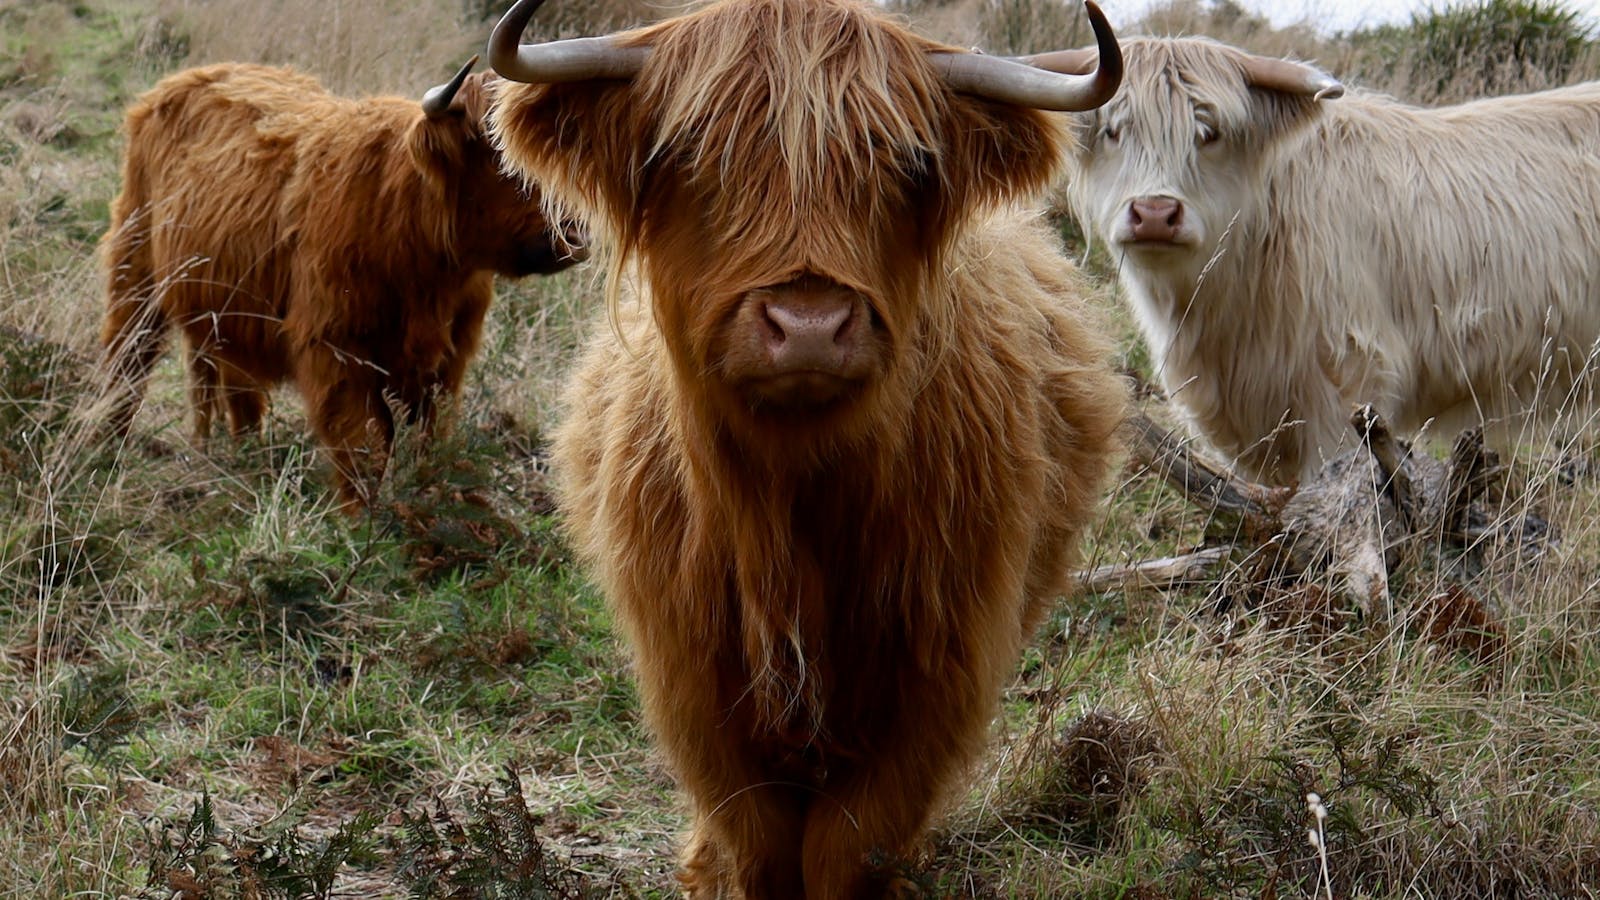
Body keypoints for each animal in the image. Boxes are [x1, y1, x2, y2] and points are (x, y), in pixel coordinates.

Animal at [99, 58, 584, 508]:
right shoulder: (336, 350)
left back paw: (242, 456)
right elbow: (362, 441)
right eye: (500, 153)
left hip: (223, 309)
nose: (576, 229)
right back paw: (109, 447)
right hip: (135, 266)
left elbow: (430, 438)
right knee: (128, 357)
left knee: (230, 385)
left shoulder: (449, 358)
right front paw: (359, 520)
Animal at [486, 0, 1127, 894]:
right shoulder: (694, 685)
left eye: (908, 161)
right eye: (688, 151)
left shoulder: (938, 681)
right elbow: (758, 842)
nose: (810, 325)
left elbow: (845, 849)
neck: (790, 504)